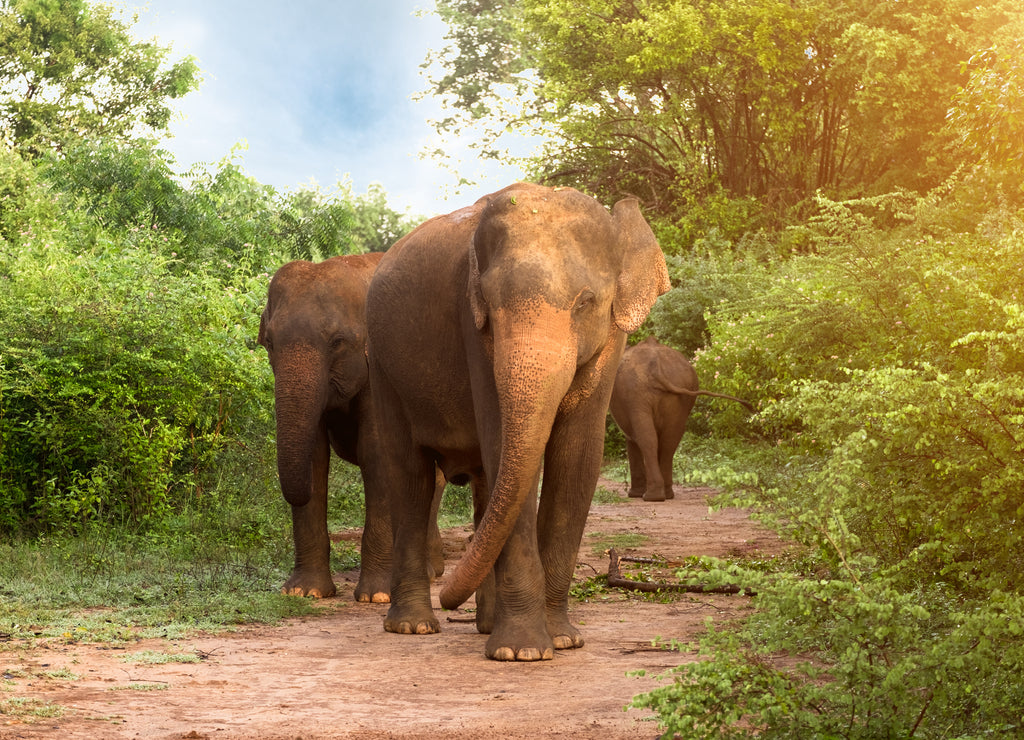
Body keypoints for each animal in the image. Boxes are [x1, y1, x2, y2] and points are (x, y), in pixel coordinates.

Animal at [258, 253, 444, 602]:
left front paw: (377, 596)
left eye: (338, 342)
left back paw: (428, 573)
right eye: (269, 343)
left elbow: (377, 453)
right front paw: (303, 593)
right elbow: (315, 456)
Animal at [364, 182, 670, 661]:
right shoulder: (472, 329)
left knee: (484, 485)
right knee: (410, 476)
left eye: (586, 303)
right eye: (488, 306)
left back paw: (485, 624)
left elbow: (578, 457)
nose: (449, 597)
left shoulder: (612, 341)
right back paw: (413, 627)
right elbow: (500, 444)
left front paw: (562, 640)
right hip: (382, 366)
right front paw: (522, 652)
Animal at [609, 336, 753, 502]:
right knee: (669, 441)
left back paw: (651, 497)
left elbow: (632, 440)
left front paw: (634, 495)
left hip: (636, 394)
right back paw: (665, 495)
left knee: (648, 439)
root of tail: (656, 367)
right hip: (679, 392)